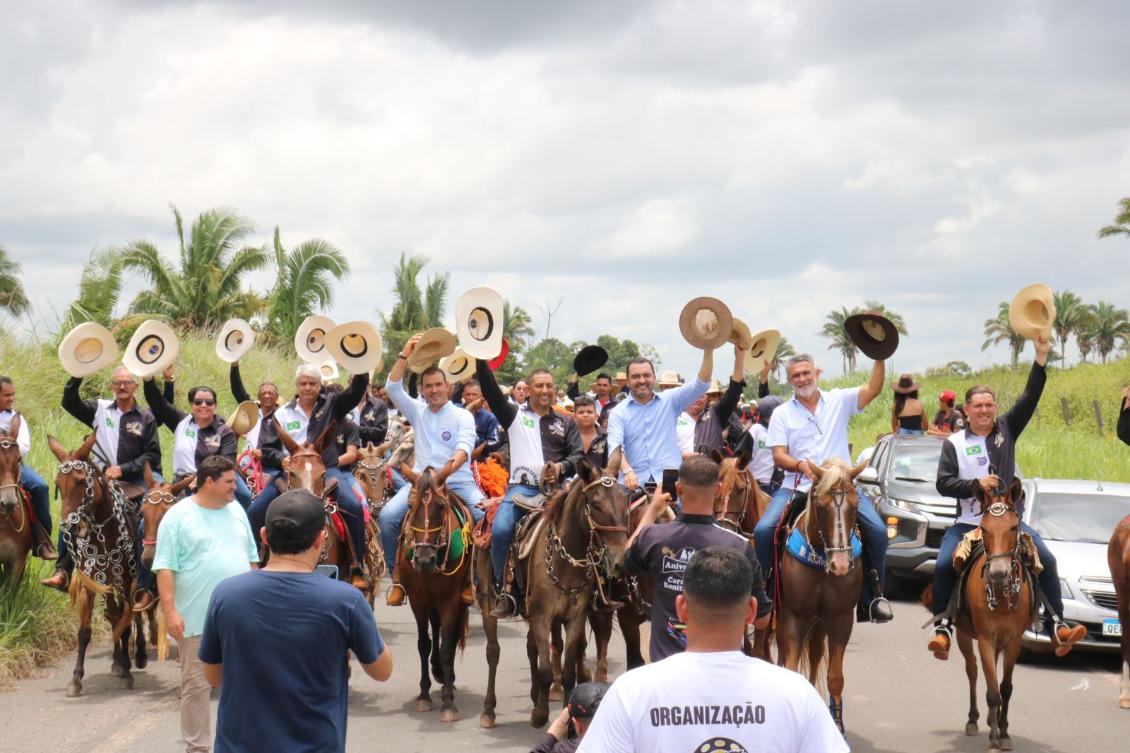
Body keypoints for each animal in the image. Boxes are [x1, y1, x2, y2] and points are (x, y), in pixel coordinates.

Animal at [47, 431, 138, 696]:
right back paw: (118, 662)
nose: (69, 526)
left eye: (80, 482)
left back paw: (135, 658)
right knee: (113, 615)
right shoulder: (91, 581)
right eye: (58, 484)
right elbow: (85, 631)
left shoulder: (125, 581)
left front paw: (128, 673)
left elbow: (126, 622)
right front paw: (76, 679)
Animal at [395, 465, 470, 719]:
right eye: (410, 506)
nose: (424, 559)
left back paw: (447, 678)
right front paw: (424, 695)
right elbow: (423, 644)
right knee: (434, 627)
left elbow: (447, 645)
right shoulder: (418, 599)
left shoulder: (450, 599)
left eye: (441, 506)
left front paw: (448, 702)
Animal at [772, 454, 867, 728]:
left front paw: (837, 722)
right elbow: (790, 667)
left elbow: (835, 676)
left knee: (815, 655)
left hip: (820, 623)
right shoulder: (794, 616)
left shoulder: (840, 619)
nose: (841, 565)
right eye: (822, 506)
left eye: (855, 506)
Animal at [949, 477, 1035, 746]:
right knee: (973, 671)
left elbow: (1005, 688)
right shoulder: (986, 639)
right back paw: (974, 719)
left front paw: (1004, 731)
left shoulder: (1014, 640)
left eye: (1013, 527)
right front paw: (995, 737)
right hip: (965, 635)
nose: (998, 572)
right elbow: (993, 691)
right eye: (984, 529)